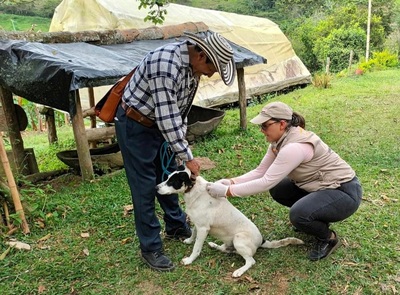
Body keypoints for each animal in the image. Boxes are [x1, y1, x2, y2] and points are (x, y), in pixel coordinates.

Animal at [156, 168, 304, 278]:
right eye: (167, 178)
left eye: (172, 181)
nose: (156, 187)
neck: (194, 190)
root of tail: (262, 240)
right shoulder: (197, 224)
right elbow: (193, 234)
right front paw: (188, 240)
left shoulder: (203, 228)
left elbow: (196, 248)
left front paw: (189, 260)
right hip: (231, 243)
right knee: (227, 250)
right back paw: (214, 245)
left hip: (239, 239)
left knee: (251, 261)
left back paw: (239, 271)